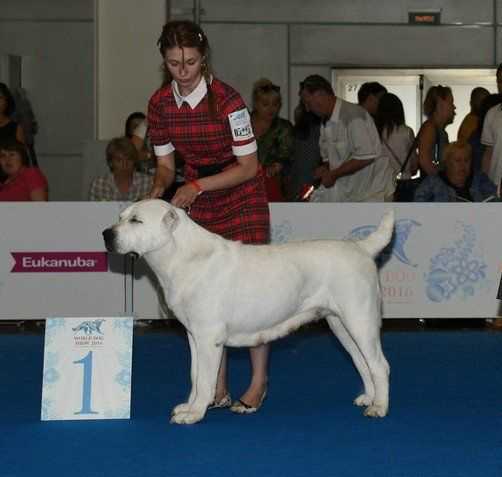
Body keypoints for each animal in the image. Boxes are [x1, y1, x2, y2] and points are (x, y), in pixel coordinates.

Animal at [102, 199, 392, 422]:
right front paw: (189, 406)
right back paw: (369, 398)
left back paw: (379, 407)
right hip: (341, 325)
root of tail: (361, 248)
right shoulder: (194, 336)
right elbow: (195, 375)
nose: (106, 234)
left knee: (379, 365)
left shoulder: (209, 337)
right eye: (121, 217)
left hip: (360, 319)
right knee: (363, 362)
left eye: (136, 221)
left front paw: (194, 414)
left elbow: (205, 380)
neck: (181, 256)